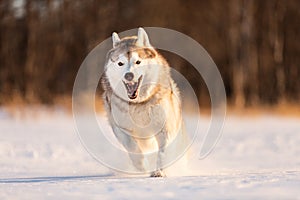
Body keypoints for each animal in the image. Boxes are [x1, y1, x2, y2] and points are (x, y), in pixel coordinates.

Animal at [101, 27, 188, 177]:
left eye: (138, 62)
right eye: (120, 63)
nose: (128, 75)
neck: (138, 104)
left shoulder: (165, 127)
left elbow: (163, 152)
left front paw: (158, 172)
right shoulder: (121, 128)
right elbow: (132, 147)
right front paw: (142, 166)